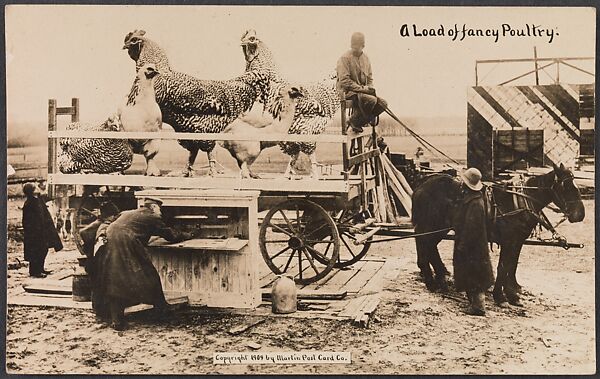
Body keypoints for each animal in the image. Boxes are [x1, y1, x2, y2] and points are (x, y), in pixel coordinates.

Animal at [410, 165, 584, 308]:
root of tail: (421, 185)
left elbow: (511, 266)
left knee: (429, 246)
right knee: (424, 243)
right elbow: (503, 267)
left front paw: (512, 295)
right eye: (566, 187)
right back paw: (431, 280)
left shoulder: (517, 242)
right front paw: (500, 297)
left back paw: (440, 278)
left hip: (438, 228)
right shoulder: (509, 241)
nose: (580, 214)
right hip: (432, 226)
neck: (520, 201)